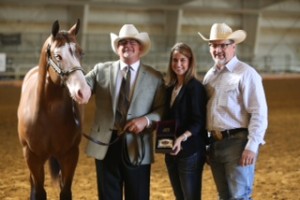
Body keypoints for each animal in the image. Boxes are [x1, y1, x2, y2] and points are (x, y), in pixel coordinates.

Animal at [16, 19, 90, 200]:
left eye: (81, 53)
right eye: (58, 56)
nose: (84, 92)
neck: (48, 114)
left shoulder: (70, 155)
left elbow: (66, 191)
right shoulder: (32, 156)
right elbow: (39, 191)